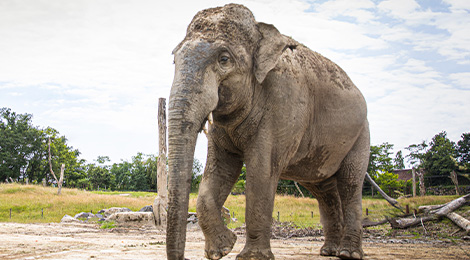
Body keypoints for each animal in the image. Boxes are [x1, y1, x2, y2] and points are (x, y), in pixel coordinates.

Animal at [167, 3, 370, 260]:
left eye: (224, 59)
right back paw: (328, 251)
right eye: (175, 60)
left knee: (350, 184)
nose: (183, 256)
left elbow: (261, 170)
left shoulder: (283, 102)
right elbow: (220, 169)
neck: (260, 32)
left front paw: (251, 256)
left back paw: (347, 253)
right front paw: (222, 249)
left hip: (361, 134)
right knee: (323, 189)